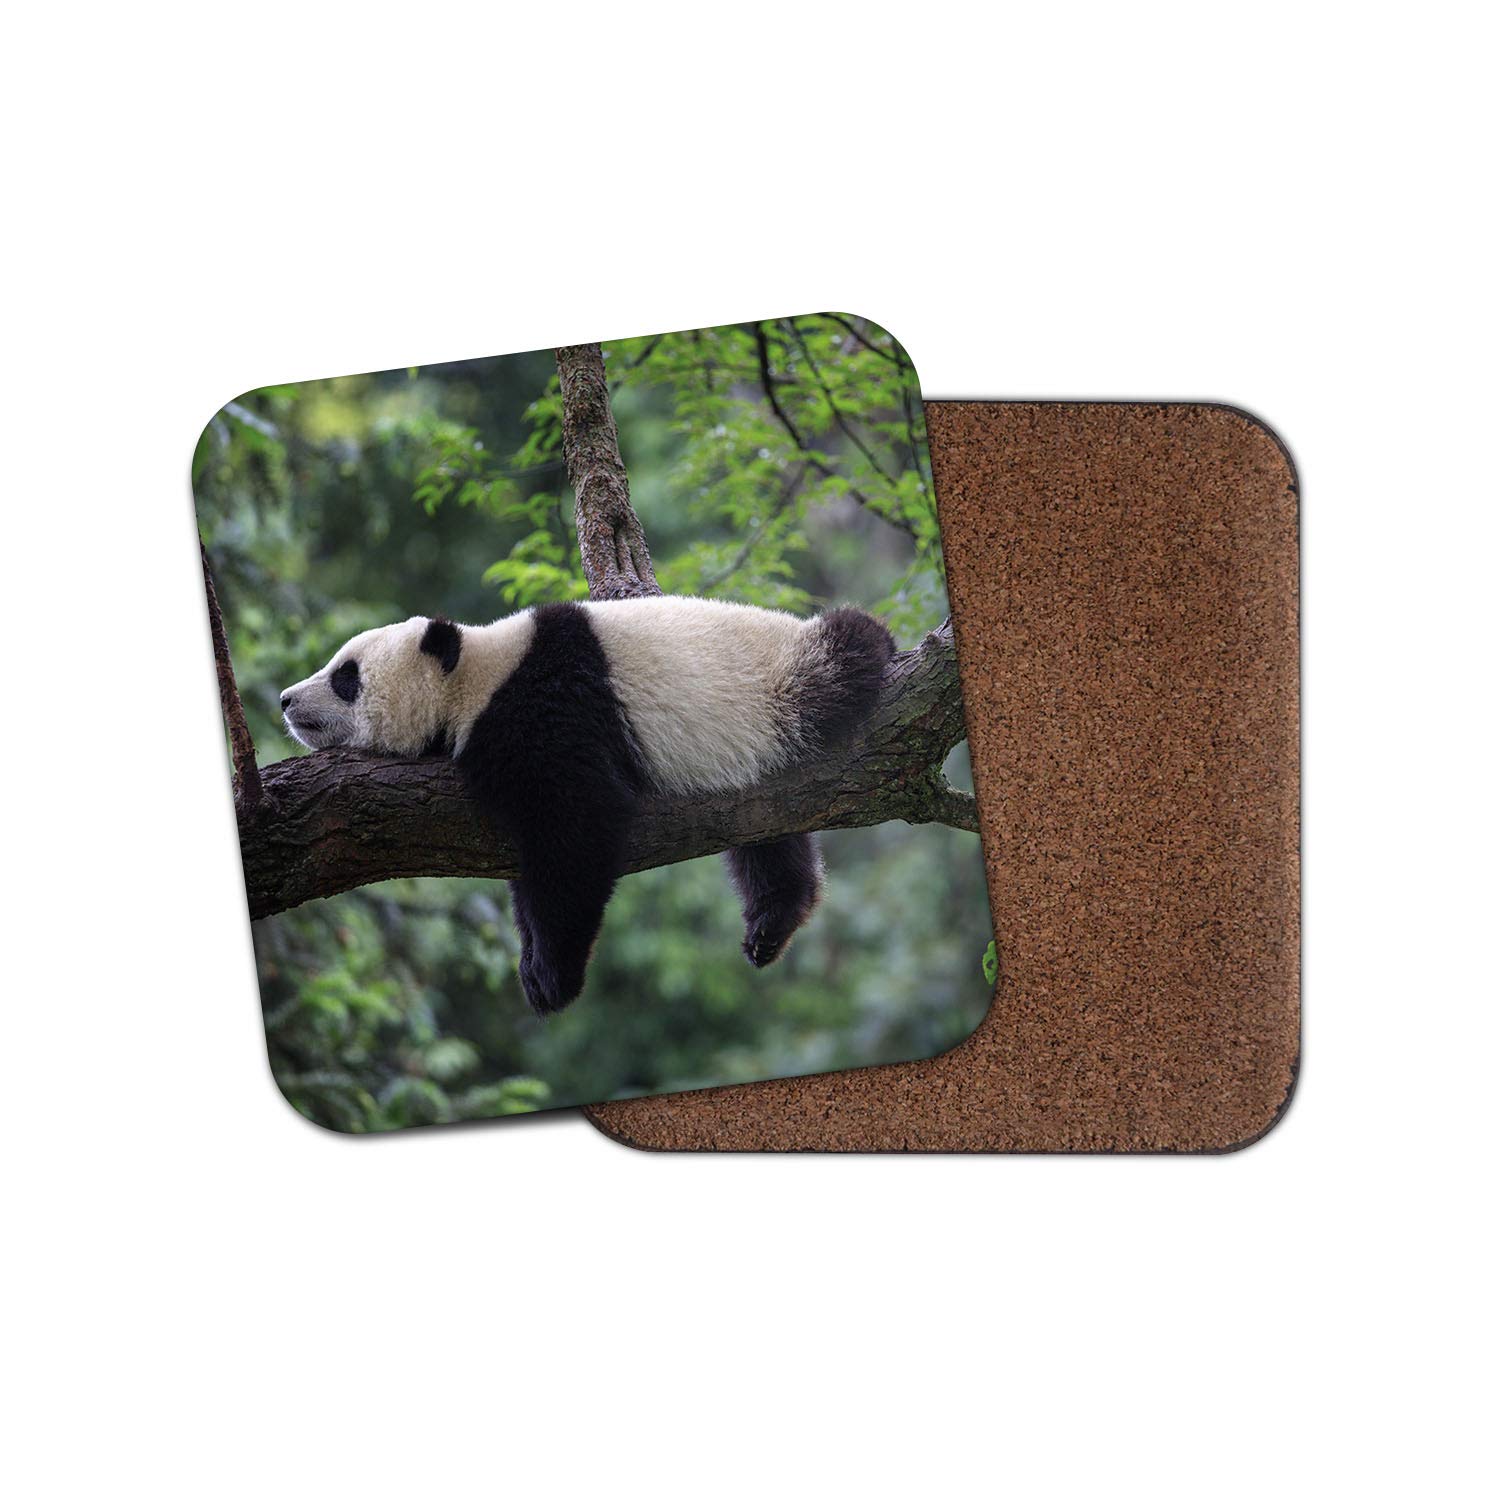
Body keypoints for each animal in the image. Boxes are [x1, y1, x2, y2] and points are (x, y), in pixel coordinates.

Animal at [279, 595, 895, 1017]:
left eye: (346, 677)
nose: (285, 700)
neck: (477, 674)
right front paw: (532, 962)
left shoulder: (548, 710)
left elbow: (577, 827)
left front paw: (552, 976)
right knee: (768, 832)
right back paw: (773, 920)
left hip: (782, 685)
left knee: (846, 652)